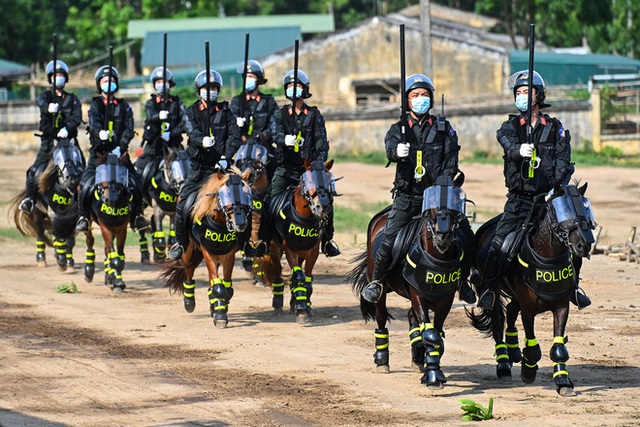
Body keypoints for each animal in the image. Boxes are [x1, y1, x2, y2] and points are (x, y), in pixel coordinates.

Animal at [82, 152, 132, 292]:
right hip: (89, 222)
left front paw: (117, 281)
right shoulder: (105, 228)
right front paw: (117, 282)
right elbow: (115, 258)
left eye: (121, 174)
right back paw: (89, 272)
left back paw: (109, 276)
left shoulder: (121, 229)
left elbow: (119, 257)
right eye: (102, 173)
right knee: (90, 240)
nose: (109, 199)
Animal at [161, 166, 254, 328]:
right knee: (188, 272)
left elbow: (226, 288)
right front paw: (220, 315)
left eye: (246, 195)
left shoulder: (228, 255)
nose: (241, 223)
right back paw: (189, 302)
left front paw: (219, 310)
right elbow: (218, 287)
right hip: (189, 252)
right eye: (226, 194)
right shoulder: (207, 252)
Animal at [252, 160, 338, 324]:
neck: (306, 217)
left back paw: (294, 302)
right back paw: (278, 305)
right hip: (275, 250)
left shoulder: (312, 252)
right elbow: (299, 276)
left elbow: (307, 280)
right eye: (309, 181)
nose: (323, 206)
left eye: (329, 180)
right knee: (278, 273)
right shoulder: (290, 250)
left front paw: (306, 308)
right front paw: (301, 311)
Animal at [348, 175, 472, 392]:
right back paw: (382, 361)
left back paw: (418, 358)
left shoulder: (446, 299)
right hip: (380, 287)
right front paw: (433, 377)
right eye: (432, 207)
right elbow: (431, 333)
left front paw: (432, 367)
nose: (443, 236)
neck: (437, 255)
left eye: (456, 205)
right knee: (381, 317)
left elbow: (436, 334)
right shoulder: (418, 294)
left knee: (412, 318)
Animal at [468, 182, 596, 396]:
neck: (547, 258)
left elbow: (559, 348)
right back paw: (504, 365)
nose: (584, 245)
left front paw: (563, 382)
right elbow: (533, 347)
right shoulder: (528, 309)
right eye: (561, 211)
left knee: (511, 310)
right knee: (498, 322)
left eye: (585, 208)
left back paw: (513, 350)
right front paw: (528, 372)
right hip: (492, 292)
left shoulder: (561, 307)